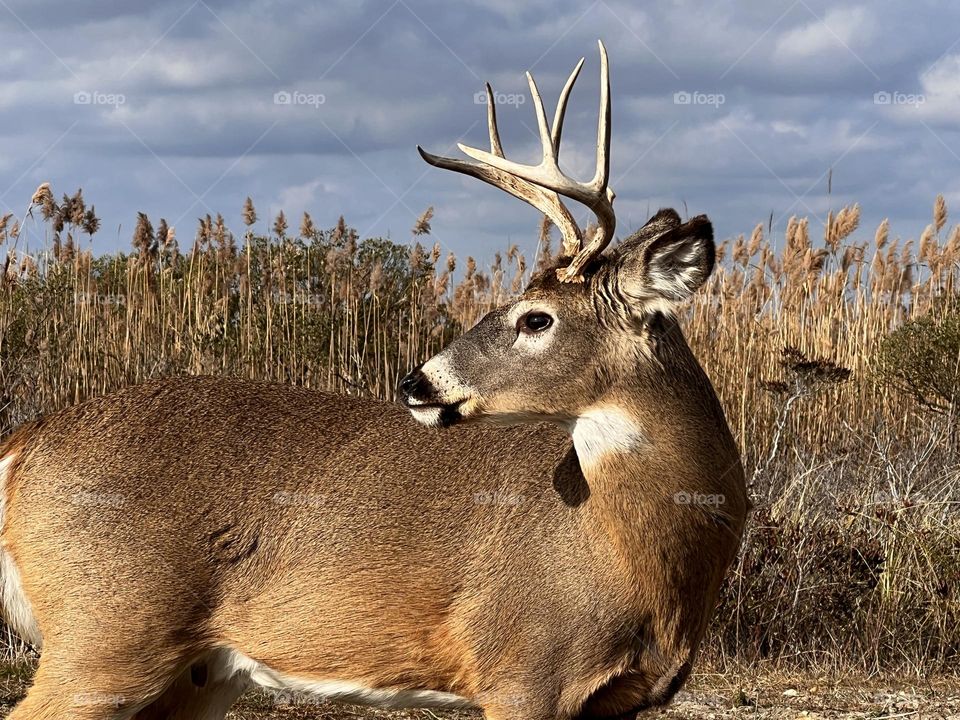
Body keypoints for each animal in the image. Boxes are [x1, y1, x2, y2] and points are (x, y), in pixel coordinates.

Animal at [0, 40, 748, 720]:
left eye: (536, 318)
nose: (417, 382)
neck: (639, 559)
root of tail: (25, 442)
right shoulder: (524, 670)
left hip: (196, 673)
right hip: (105, 634)